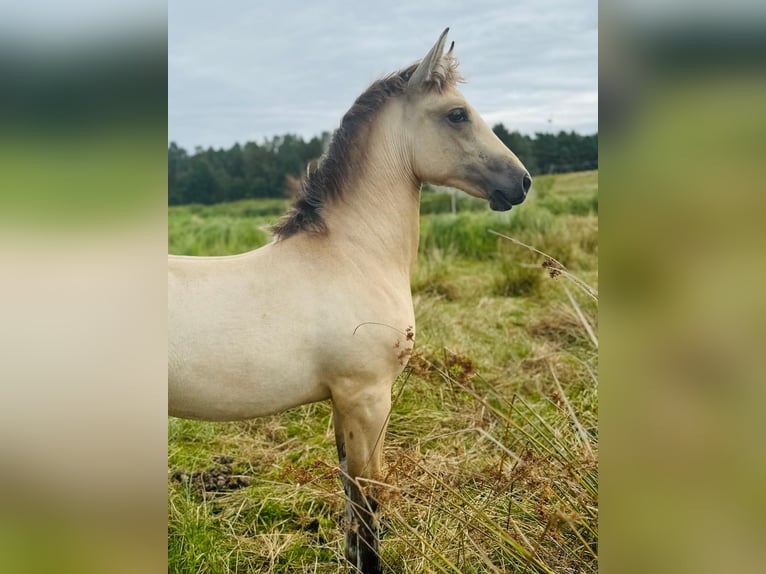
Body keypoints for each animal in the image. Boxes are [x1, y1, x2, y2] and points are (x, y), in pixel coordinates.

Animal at [169, 28, 532, 574]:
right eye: (457, 114)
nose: (522, 182)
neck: (352, 254)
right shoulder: (367, 397)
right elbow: (368, 500)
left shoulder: (342, 402)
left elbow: (349, 495)